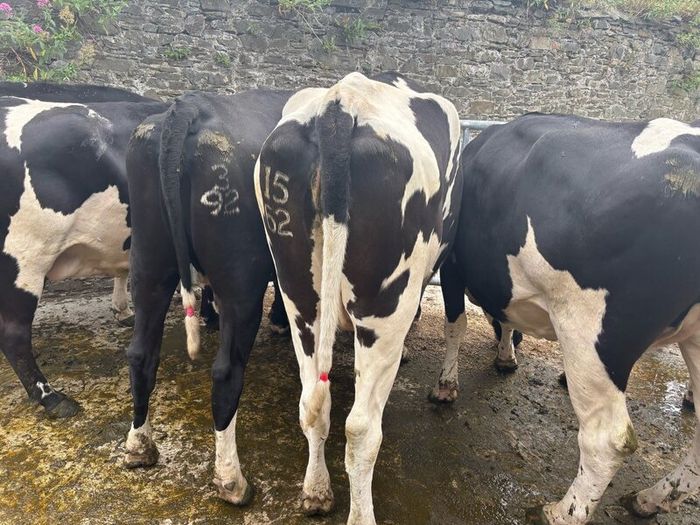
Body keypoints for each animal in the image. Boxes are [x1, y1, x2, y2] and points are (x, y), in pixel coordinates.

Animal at [122, 89, 291, 507]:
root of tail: (190, 106)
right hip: (240, 280)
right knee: (226, 373)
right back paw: (232, 481)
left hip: (148, 260)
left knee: (140, 354)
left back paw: (139, 447)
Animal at [254, 71, 462, 524]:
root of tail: (339, 105)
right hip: (383, 308)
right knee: (362, 427)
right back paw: (360, 513)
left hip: (299, 294)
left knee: (313, 403)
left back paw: (316, 492)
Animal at [439, 113, 700, 524]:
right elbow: (505, 318)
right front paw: (505, 356)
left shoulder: (451, 266)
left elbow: (456, 325)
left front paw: (446, 384)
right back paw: (651, 498)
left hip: (590, 332)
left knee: (608, 439)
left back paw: (560, 512)